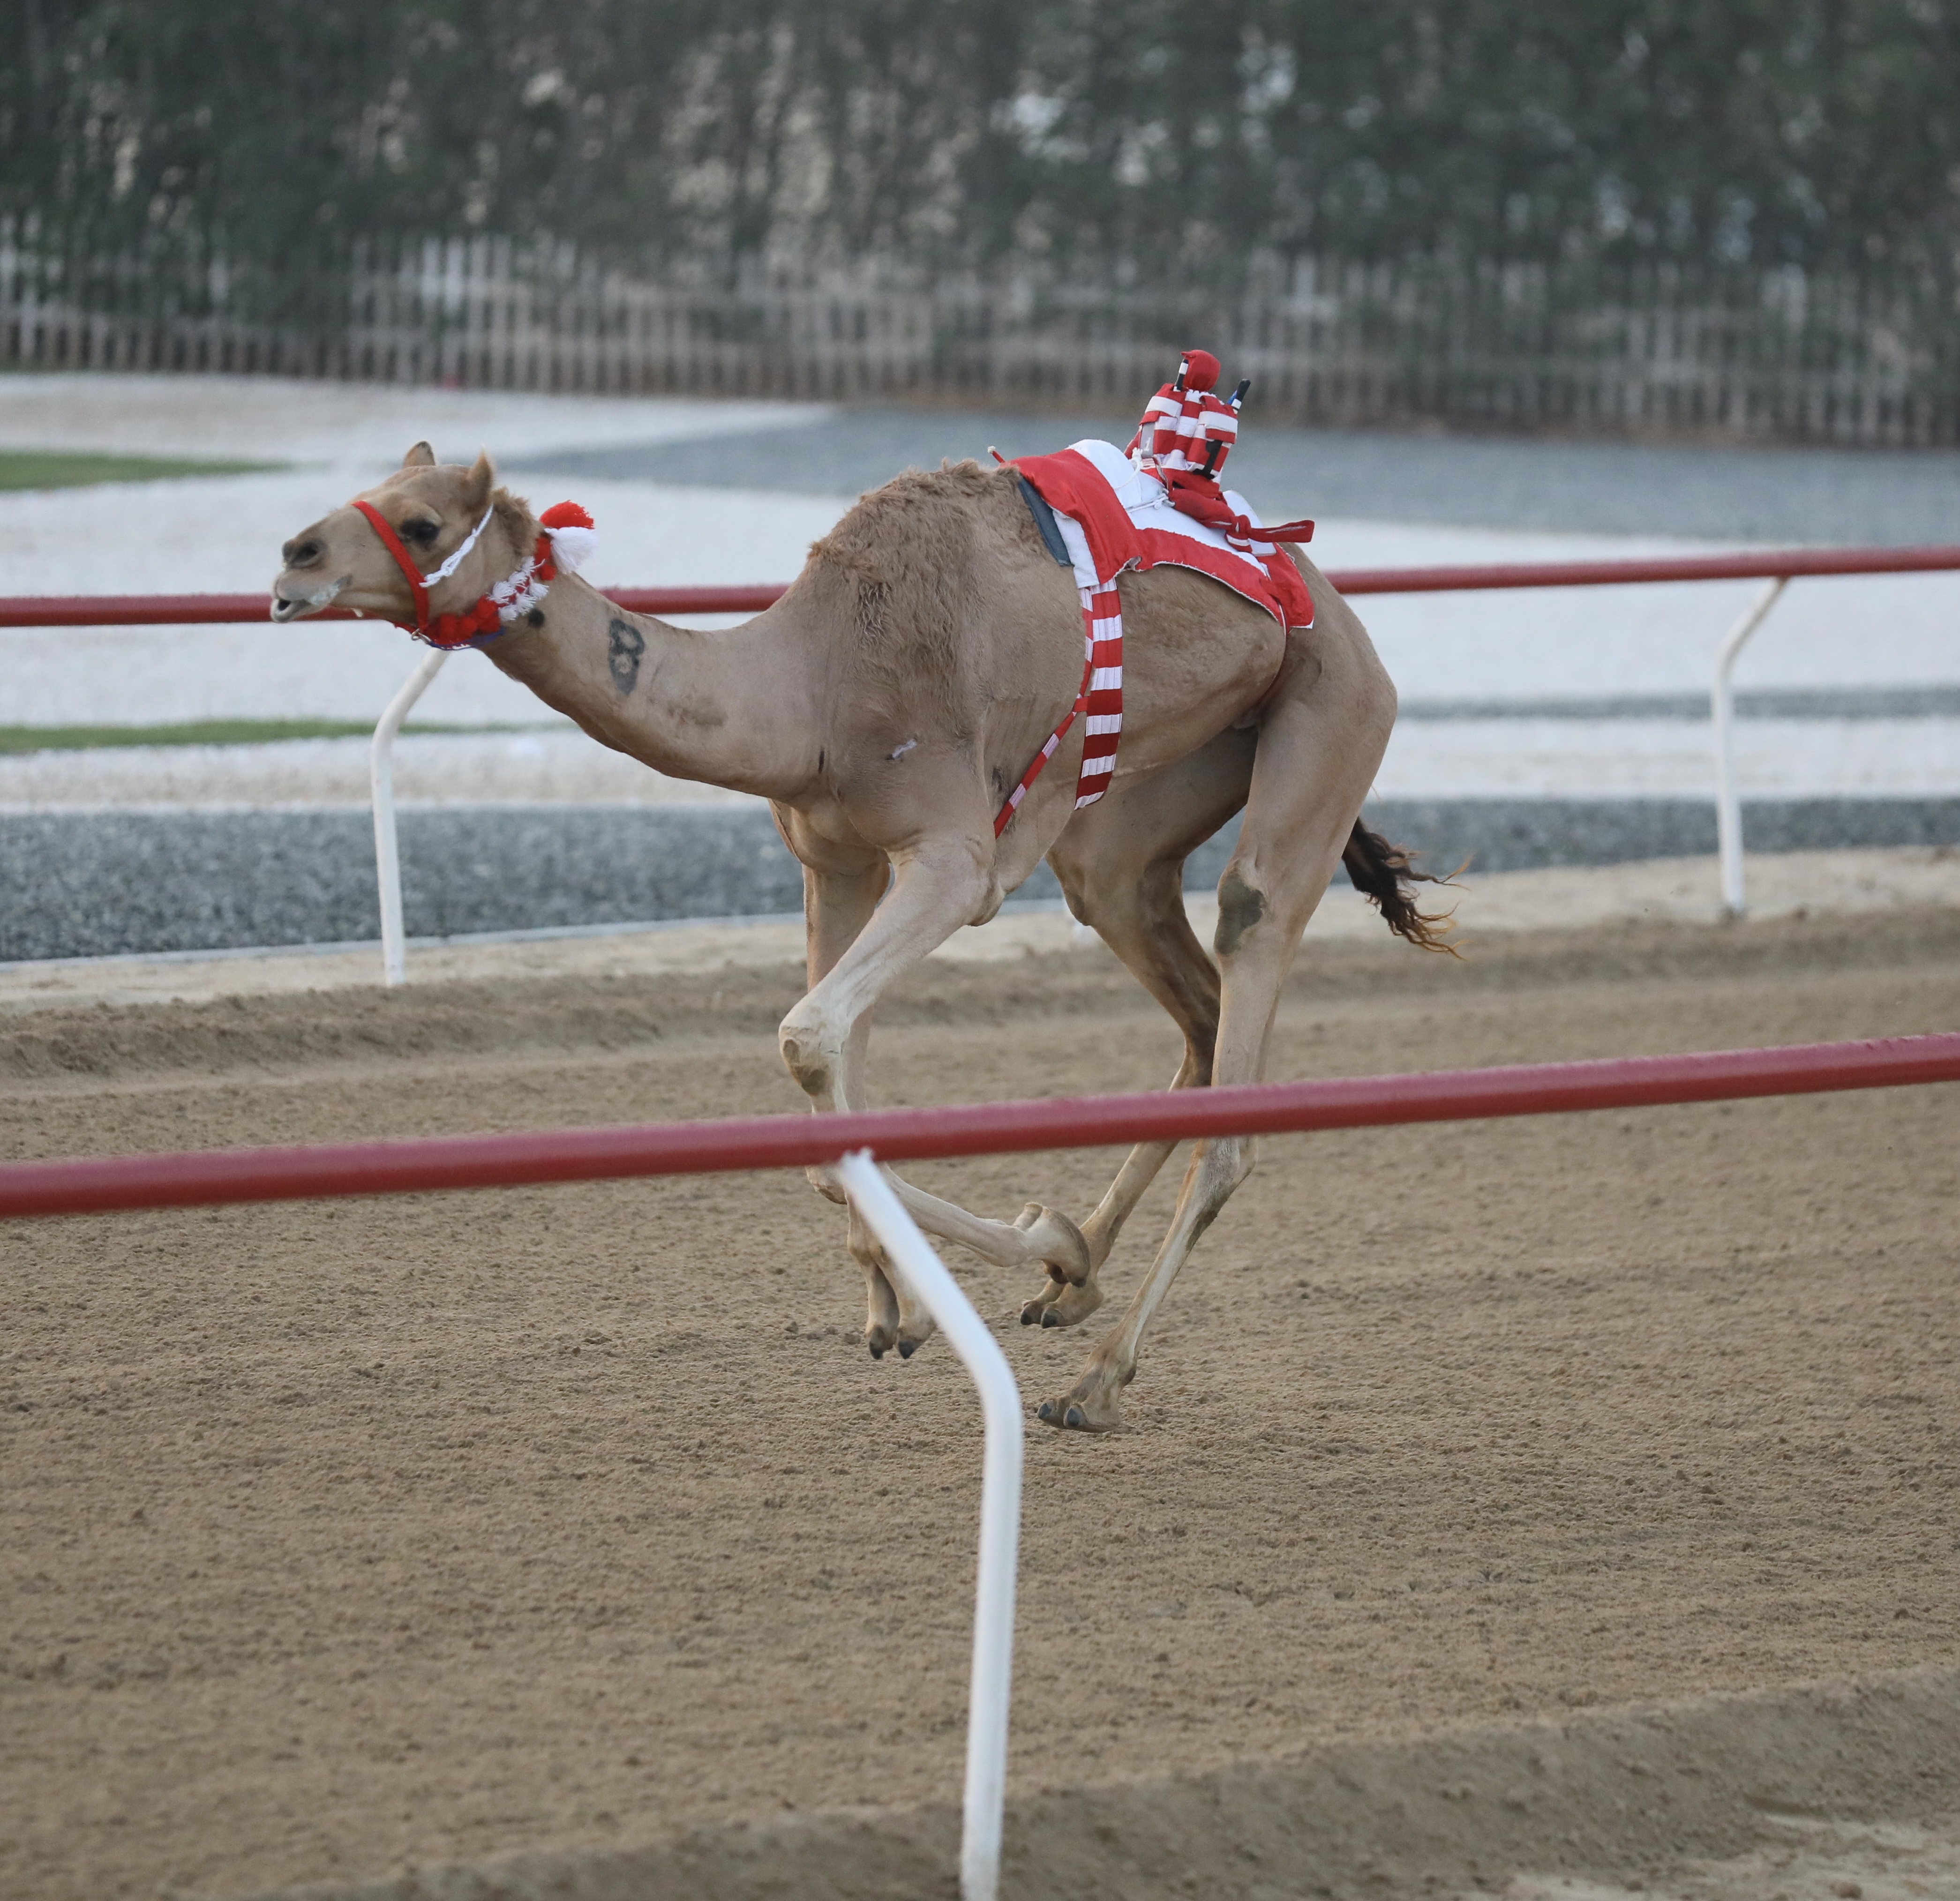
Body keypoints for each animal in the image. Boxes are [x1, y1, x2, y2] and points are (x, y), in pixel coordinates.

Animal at [268, 441, 1450, 1427]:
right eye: (373, 488)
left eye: (420, 521)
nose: (292, 558)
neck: (815, 683)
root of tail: (1319, 591)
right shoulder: (833, 857)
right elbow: (835, 1078)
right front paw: (914, 1304)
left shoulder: (951, 858)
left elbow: (807, 1037)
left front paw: (1034, 1236)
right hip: (1137, 812)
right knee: (1179, 994)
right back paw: (1070, 1292)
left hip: (1333, 708)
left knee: (1246, 987)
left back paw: (1096, 1378)